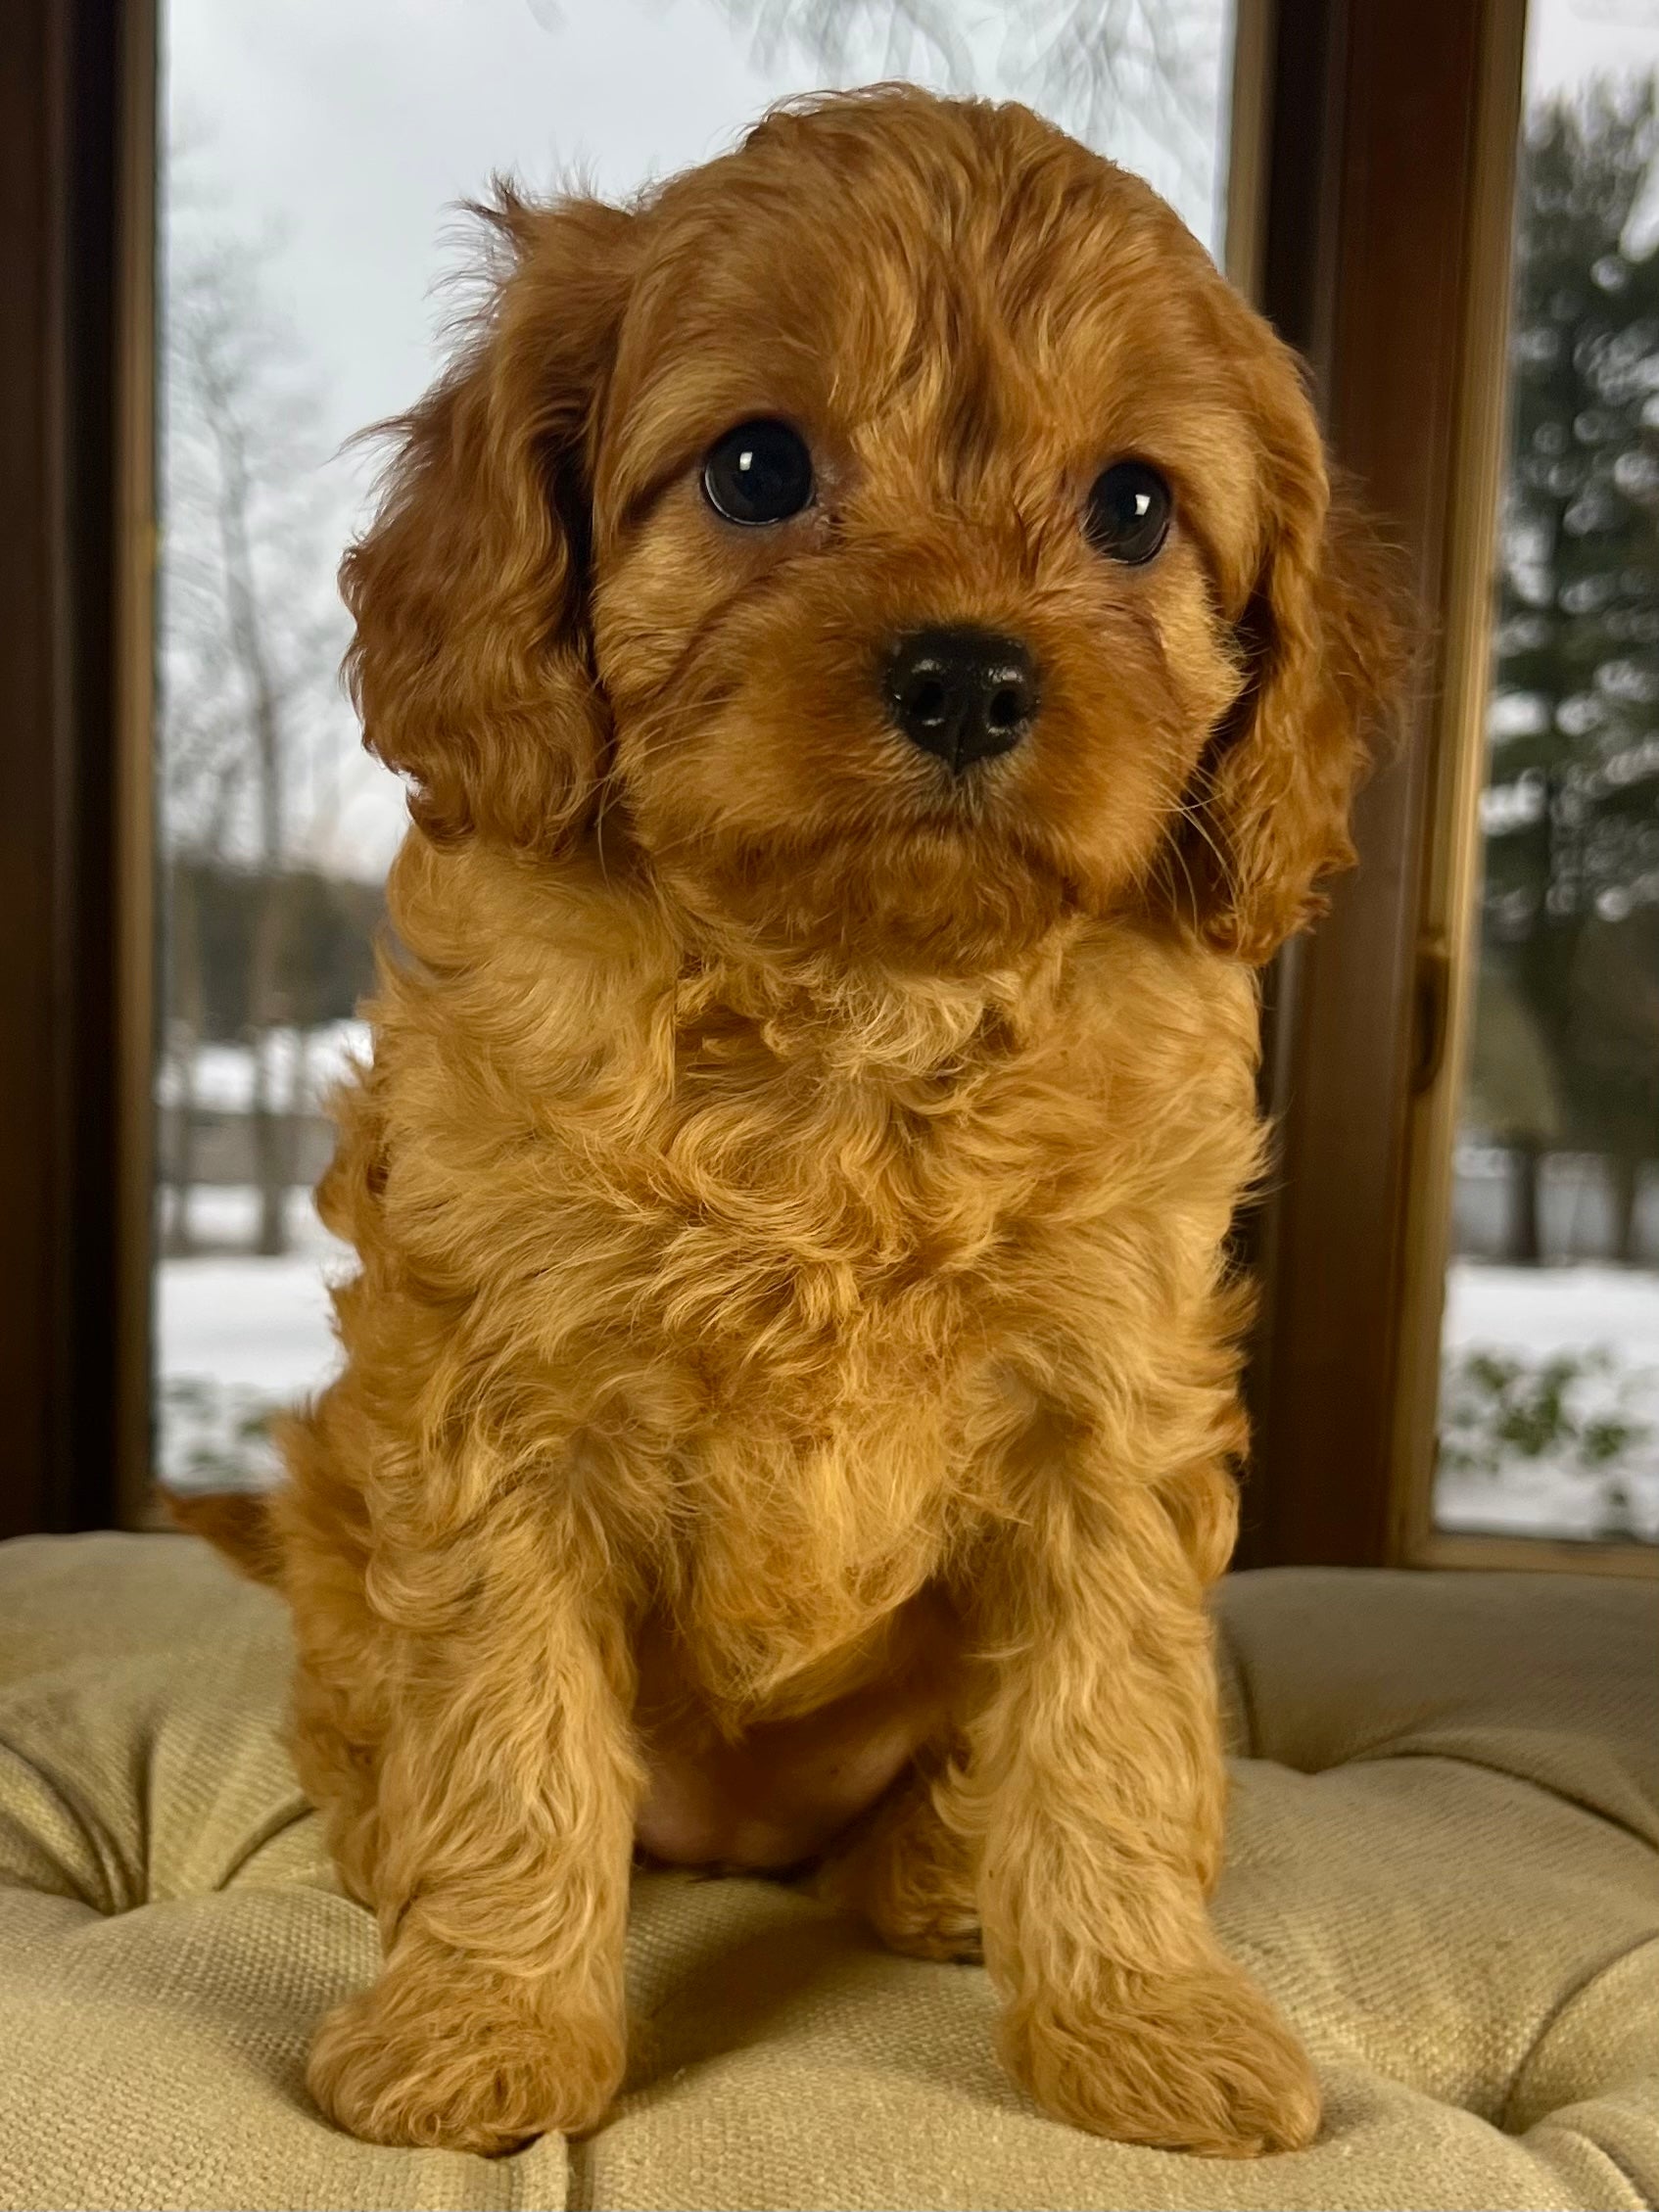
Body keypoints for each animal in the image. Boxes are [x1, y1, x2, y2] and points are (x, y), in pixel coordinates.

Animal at [178, 86, 1406, 2158]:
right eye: (756, 467)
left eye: (1132, 506)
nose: (968, 671)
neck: (856, 1011)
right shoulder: (496, 1412)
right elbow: (505, 1729)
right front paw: (484, 2020)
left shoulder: (1112, 1417)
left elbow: (1108, 1721)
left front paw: (1141, 2016)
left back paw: (935, 1873)